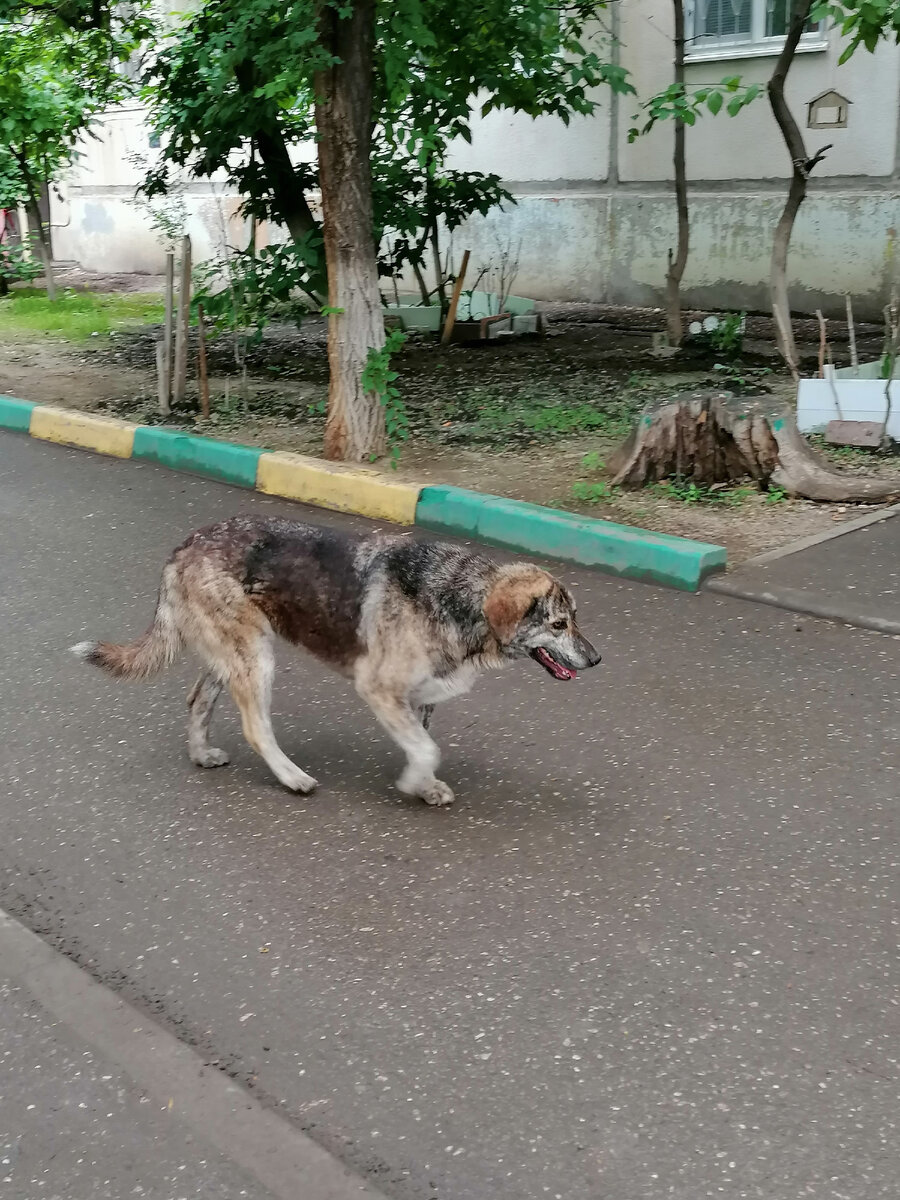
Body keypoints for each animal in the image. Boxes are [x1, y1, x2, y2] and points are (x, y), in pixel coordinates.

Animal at [74, 516, 602, 806]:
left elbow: (424, 744)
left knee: (197, 699)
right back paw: (291, 778)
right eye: (559, 624)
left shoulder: (419, 699)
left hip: (231, 655)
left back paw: (201, 753)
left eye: (575, 619)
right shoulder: (380, 689)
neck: (459, 597)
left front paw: (424, 786)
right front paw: (413, 782)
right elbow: (426, 750)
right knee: (255, 727)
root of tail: (184, 545)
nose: (597, 659)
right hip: (256, 660)